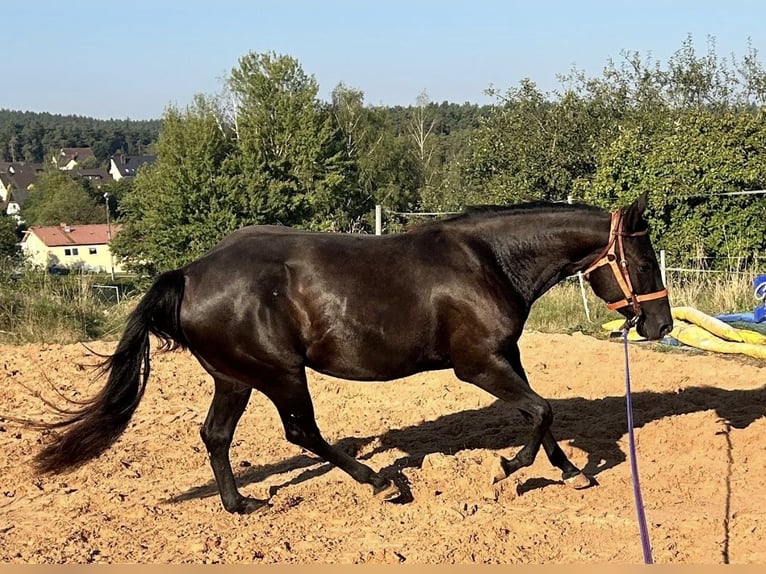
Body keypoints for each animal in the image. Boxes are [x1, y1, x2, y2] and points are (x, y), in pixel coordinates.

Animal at [33, 194, 676, 516]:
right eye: (646, 261)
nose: (662, 324)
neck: (487, 261)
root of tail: (188, 275)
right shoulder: (478, 365)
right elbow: (540, 411)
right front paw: (510, 471)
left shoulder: (505, 357)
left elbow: (541, 413)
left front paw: (568, 471)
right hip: (280, 373)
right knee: (302, 433)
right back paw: (381, 483)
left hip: (234, 378)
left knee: (216, 435)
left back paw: (239, 504)